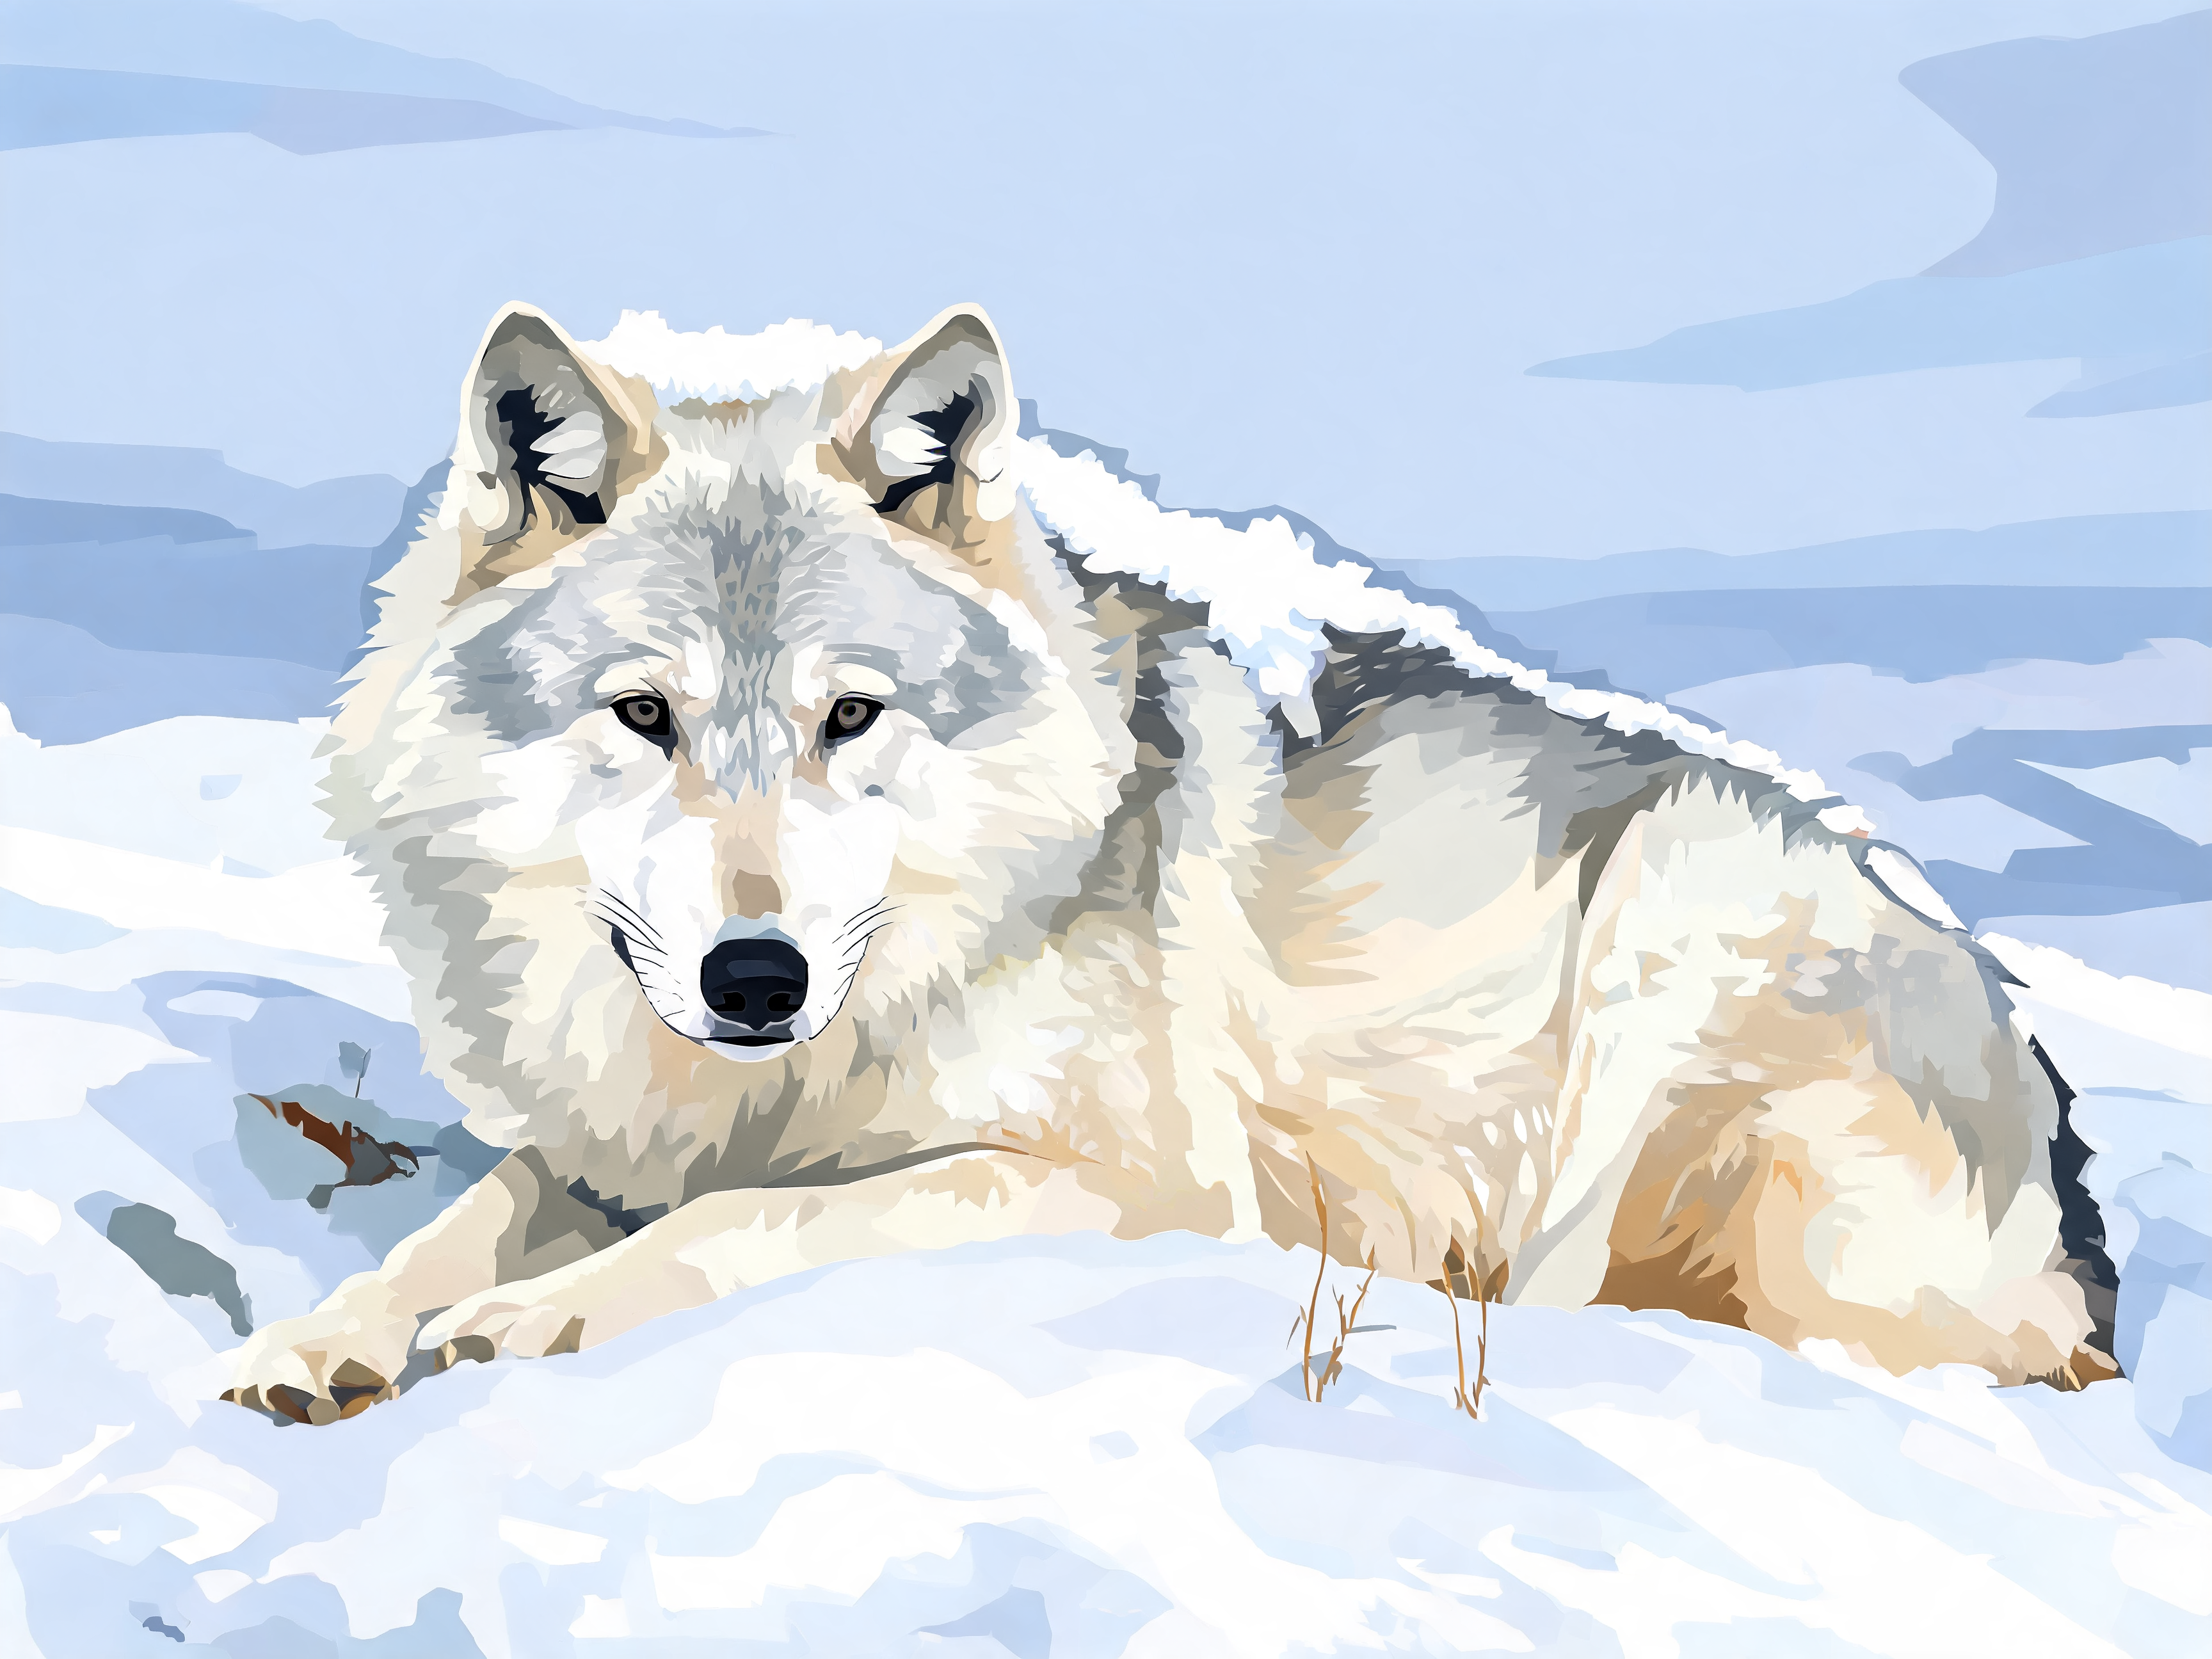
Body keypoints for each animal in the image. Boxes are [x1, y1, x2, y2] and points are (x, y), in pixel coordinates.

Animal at [224, 302, 2116, 1423]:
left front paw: (539, 1323)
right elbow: (466, 1219)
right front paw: (318, 1340)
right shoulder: (609, 1145)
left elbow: (755, 1220)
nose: (752, 979)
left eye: (851, 716)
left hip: (1681, 910)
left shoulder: (1119, 1184)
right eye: (642, 714)